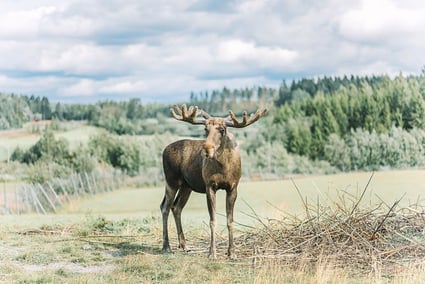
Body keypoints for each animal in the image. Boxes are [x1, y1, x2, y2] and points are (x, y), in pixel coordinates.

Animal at [161, 103, 266, 258]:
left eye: (222, 130)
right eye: (206, 129)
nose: (206, 148)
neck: (224, 167)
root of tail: (164, 150)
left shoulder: (233, 187)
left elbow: (230, 221)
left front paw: (232, 252)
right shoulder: (209, 186)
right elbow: (213, 220)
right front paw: (212, 253)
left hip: (186, 186)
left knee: (176, 207)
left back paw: (184, 245)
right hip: (171, 180)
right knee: (165, 207)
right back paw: (167, 247)